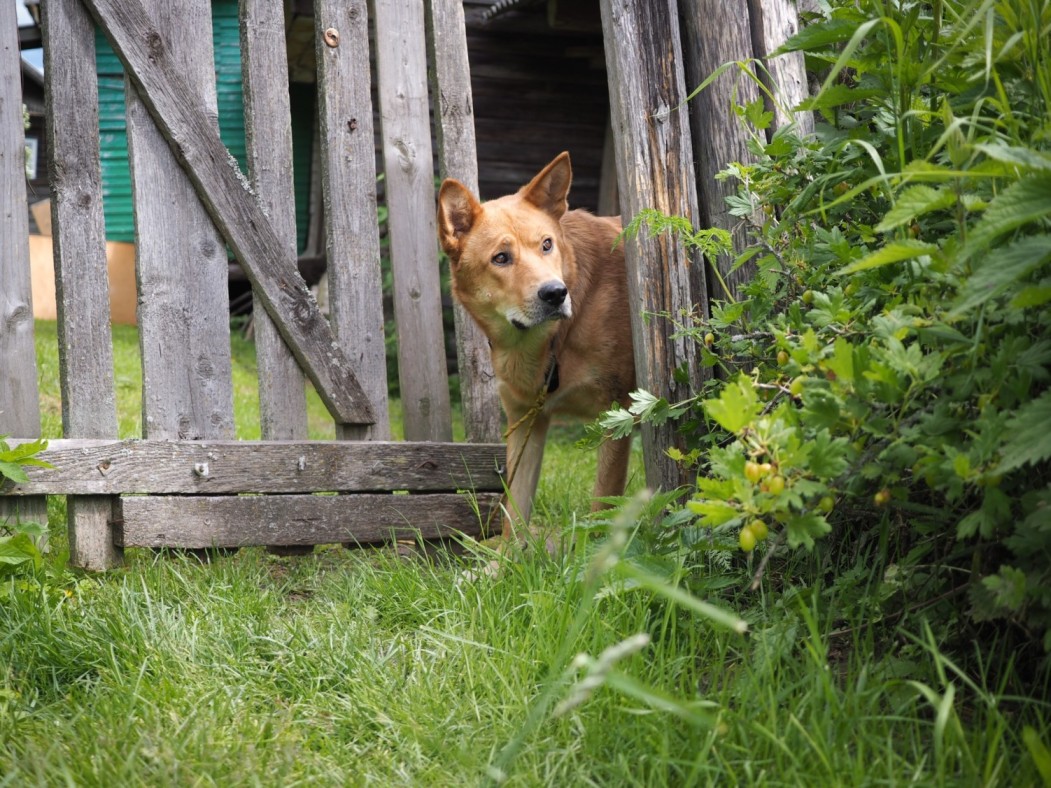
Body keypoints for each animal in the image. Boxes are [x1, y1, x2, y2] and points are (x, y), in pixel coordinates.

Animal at [439, 151, 634, 546]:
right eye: (501, 258)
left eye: (546, 244)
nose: (556, 293)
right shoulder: (526, 420)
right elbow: (514, 512)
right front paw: (507, 559)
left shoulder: (617, 412)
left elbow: (601, 507)